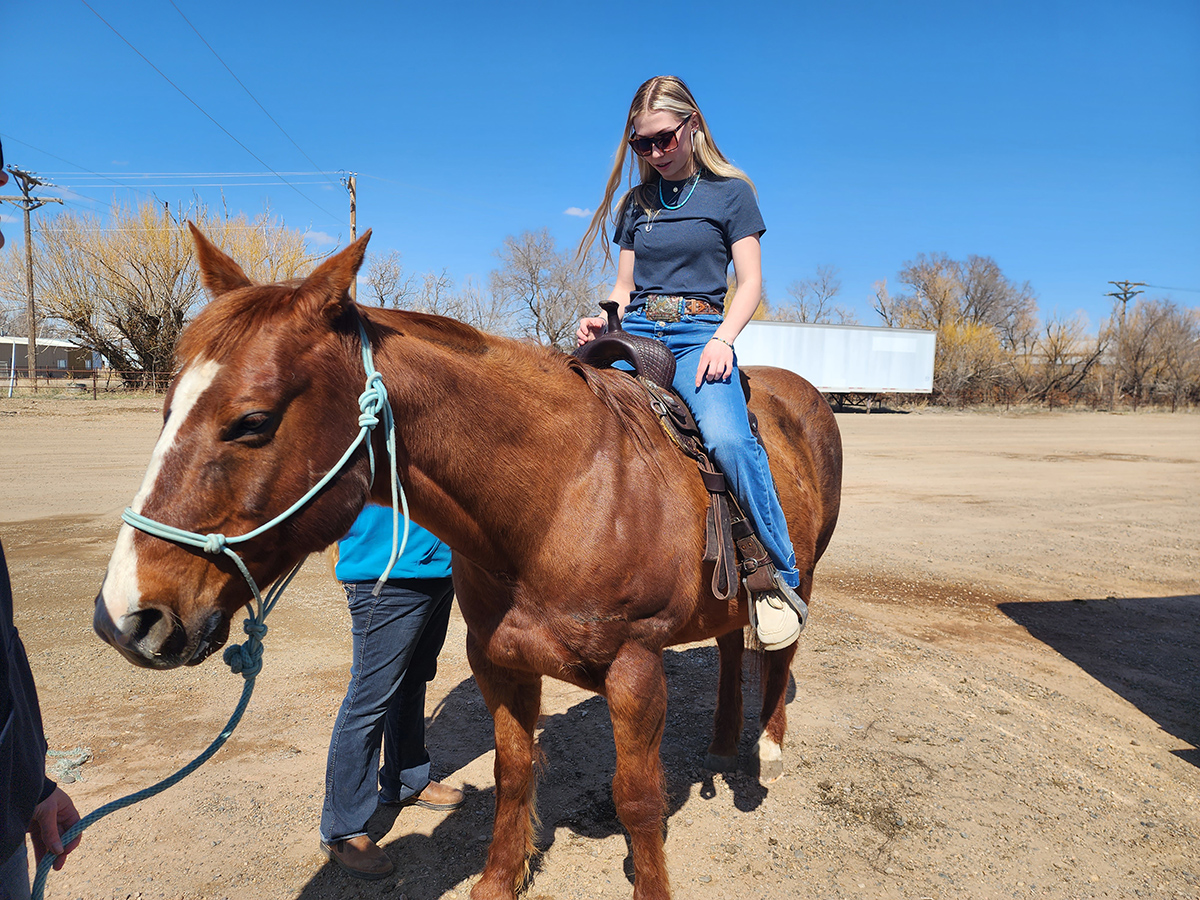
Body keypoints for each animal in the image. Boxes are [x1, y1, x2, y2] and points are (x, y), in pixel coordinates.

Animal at [93, 226, 840, 900]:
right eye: (167, 407)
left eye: (253, 421)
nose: (126, 617)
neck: (563, 493)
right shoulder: (498, 661)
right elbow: (514, 776)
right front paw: (498, 880)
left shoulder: (635, 670)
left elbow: (638, 799)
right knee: (730, 643)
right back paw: (721, 742)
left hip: (802, 574)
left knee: (779, 652)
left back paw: (767, 750)